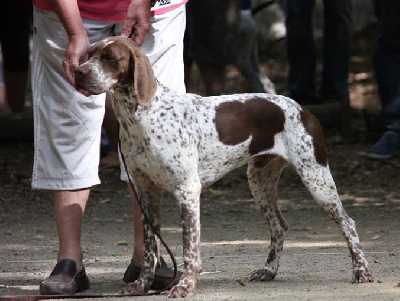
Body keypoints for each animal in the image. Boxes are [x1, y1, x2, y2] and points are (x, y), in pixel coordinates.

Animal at [75, 36, 376, 296]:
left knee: (347, 223)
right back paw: (268, 271)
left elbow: (189, 249)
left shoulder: (187, 191)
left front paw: (185, 286)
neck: (140, 117)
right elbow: (150, 250)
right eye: (88, 55)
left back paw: (361, 271)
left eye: (110, 58)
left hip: (316, 178)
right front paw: (141, 285)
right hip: (260, 182)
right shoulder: (146, 192)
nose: (78, 72)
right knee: (279, 226)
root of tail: (302, 108)